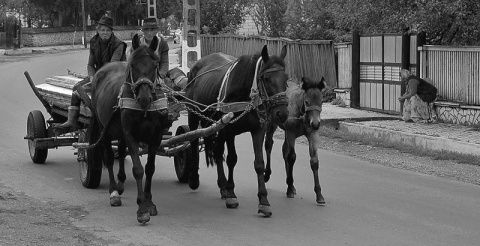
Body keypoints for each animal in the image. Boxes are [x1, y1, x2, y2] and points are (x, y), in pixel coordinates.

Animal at [90, 34, 169, 225]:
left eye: (155, 65)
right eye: (132, 65)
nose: (144, 98)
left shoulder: (156, 137)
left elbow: (150, 168)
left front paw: (149, 202)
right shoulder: (131, 135)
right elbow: (138, 169)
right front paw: (141, 209)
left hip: (119, 131)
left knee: (121, 149)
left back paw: (120, 183)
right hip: (103, 126)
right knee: (108, 156)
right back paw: (113, 191)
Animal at [184, 45, 288, 216]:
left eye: (286, 78)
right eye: (266, 79)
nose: (282, 113)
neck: (247, 95)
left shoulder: (258, 130)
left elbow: (259, 163)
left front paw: (263, 200)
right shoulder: (229, 130)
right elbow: (232, 159)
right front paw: (232, 195)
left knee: (217, 151)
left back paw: (222, 185)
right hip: (194, 115)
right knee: (192, 140)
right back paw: (193, 178)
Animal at [262, 77, 326, 206]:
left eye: (321, 101)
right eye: (306, 102)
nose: (316, 124)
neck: (303, 116)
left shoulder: (313, 135)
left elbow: (314, 161)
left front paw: (319, 195)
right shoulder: (291, 134)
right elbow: (291, 157)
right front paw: (289, 189)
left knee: (284, 150)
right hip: (272, 123)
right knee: (269, 144)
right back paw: (267, 175)